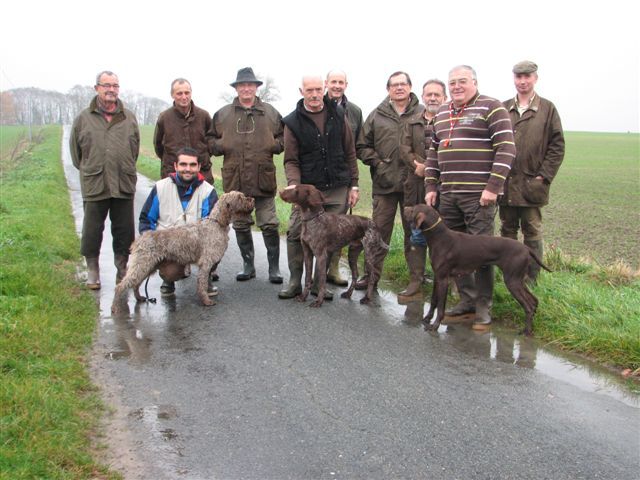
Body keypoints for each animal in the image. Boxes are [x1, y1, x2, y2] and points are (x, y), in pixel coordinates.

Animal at [112, 191, 255, 316]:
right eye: (240, 197)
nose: (252, 199)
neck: (217, 223)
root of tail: (139, 239)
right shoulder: (206, 262)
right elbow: (202, 283)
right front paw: (206, 301)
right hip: (142, 265)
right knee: (121, 286)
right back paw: (115, 308)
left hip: (148, 266)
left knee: (135, 284)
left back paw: (139, 298)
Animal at [404, 204, 552, 336]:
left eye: (413, 209)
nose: (405, 207)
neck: (439, 237)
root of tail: (527, 249)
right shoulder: (438, 277)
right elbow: (434, 301)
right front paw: (427, 319)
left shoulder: (443, 279)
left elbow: (441, 307)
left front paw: (435, 326)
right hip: (518, 279)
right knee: (534, 301)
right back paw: (531, 326)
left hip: (512, 280)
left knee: (528, 306)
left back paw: (527, 331)